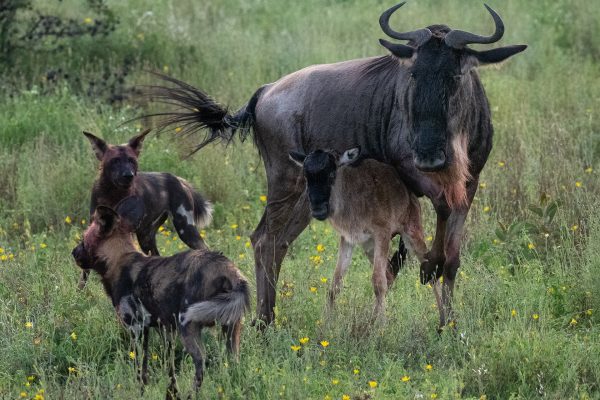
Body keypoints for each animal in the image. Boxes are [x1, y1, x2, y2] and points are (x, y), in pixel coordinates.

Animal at [71, 197, 250, 394]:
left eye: (83, 240)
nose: (73, 252)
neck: (118, 260)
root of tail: (229, 270)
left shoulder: (136, 328)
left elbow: (140, 369)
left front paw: (141, 392)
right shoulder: (162, 330)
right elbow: (168, 367)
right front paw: (169, 390)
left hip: (188, 326)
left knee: (200, 364)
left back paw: (191, 394)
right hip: (231, 329)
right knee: (234, 363)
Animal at [78, 130, 212, 290]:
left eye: (132, 161)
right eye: (115, 161)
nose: (128, 175)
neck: (113, 194)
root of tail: (178, 179)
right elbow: (85, 272)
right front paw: (79, 293)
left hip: (185, 230)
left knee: (205, 249)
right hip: (146, 237)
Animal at [290, 147, 426, 318]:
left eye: (331, 174)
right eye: (306, 177)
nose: (317, 209)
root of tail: (410, 195)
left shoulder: (382, 234)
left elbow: (378, 282)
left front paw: (382, 323)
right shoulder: (348, 239)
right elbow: (335, 284)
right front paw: (326, 320)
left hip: (412, 234)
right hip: (369, 246)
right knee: (389, 274)